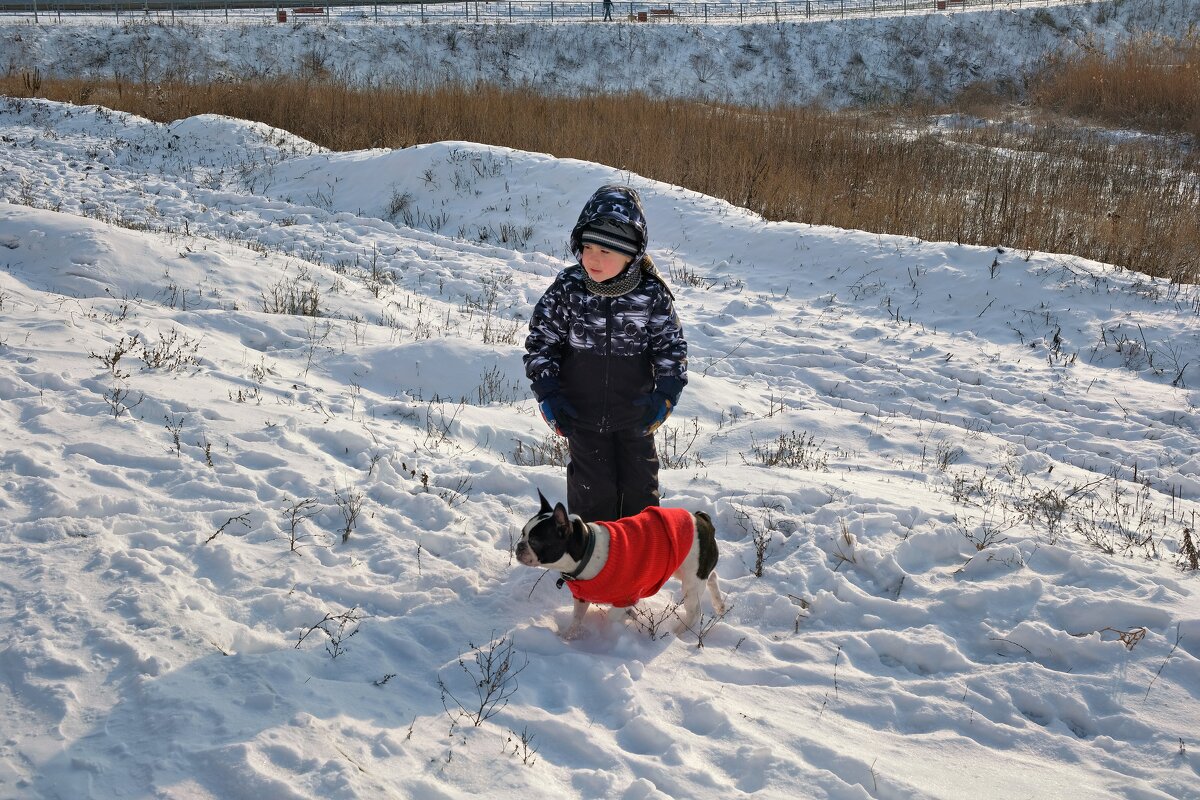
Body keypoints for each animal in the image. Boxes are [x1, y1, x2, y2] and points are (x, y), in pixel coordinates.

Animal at [513, 491, 720, 642]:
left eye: (535, 541)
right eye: (523, 533)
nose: (519, 545)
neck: (586, 551)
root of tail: (702, 519)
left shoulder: (626, 597)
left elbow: (611, 615)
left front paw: (615, 627)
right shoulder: (581, 597)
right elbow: (576, 618)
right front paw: (568, 636)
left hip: (691, 581)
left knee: (695, 611)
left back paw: (679, 631)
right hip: (682, 569)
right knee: (712, 576)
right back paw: (720, 604)